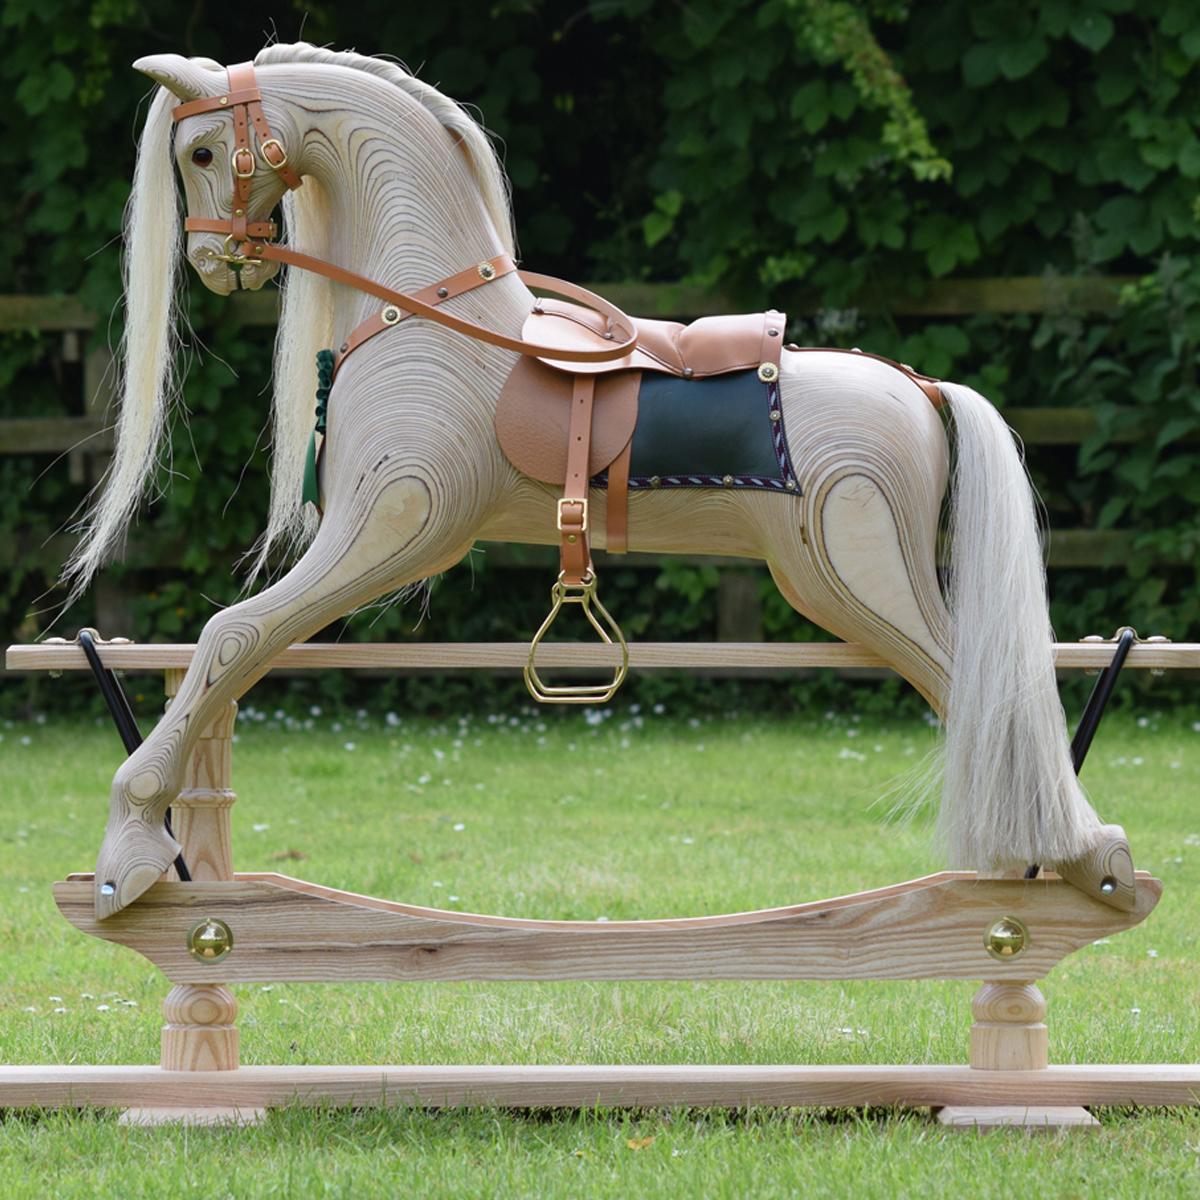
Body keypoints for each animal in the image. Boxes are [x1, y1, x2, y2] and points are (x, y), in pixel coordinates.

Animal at [65, 43, 1133, 920]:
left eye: (205, 152)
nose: (213, 262)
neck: (430, 315)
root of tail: (919, 386)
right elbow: (235, 642)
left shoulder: (394, 522)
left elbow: (231, 635)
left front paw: (130, 847)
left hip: (853, 575)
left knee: (985, 695)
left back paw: (1089, 856)